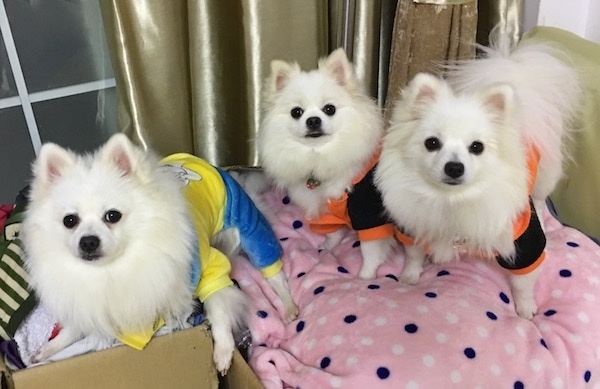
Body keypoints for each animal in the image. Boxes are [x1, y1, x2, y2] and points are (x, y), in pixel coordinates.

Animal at [21, 133, 298, 372]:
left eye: (112, 216)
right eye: (70, 221)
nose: (88, 241)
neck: (112, 271)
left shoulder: (211, 270)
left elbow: (218, 310)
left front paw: (222, 353)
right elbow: (74, 328)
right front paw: (48, 349)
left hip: (248, 224)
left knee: (274, 271)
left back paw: (289, 306)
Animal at [376, 28, 580, 318]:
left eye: (477, 147)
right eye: (432, 143)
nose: (454, 167)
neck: (453, 200)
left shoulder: (523, 240)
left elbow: (523, 281)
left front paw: (526, 308)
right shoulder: (415, 223)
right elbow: (414, 253)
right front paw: (410, 276)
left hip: (543, 178)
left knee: (540, 199)